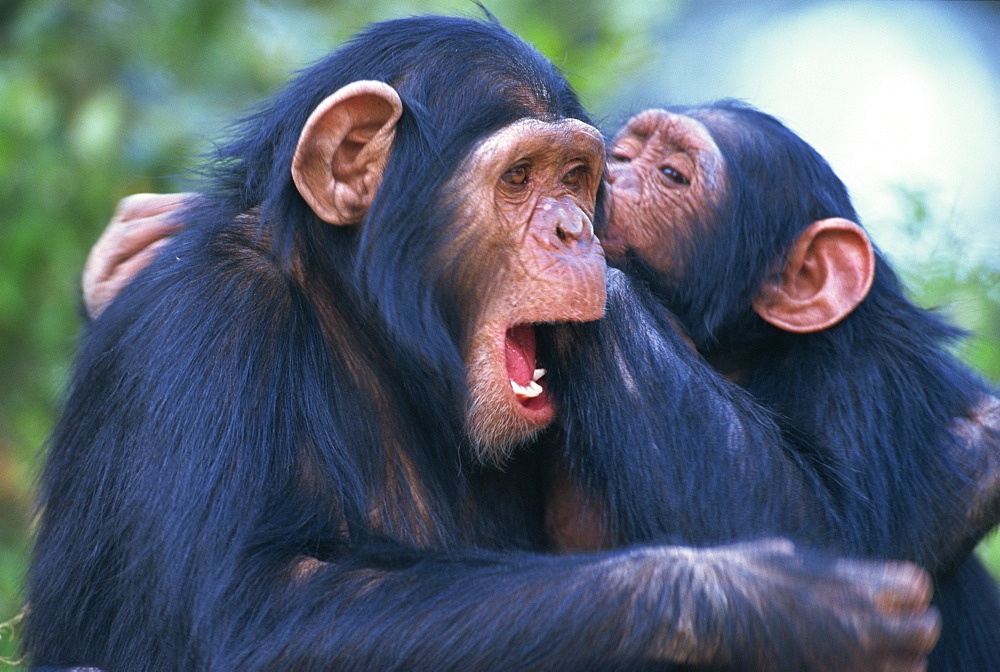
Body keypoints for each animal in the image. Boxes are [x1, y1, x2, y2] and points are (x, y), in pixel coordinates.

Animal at [27, 15, 940, 672]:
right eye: (521, 177)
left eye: (576, 177)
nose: (577, 230)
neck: (359, 327)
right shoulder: (202, 326)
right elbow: (237, 614)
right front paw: (765, 608)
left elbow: (829, 515)